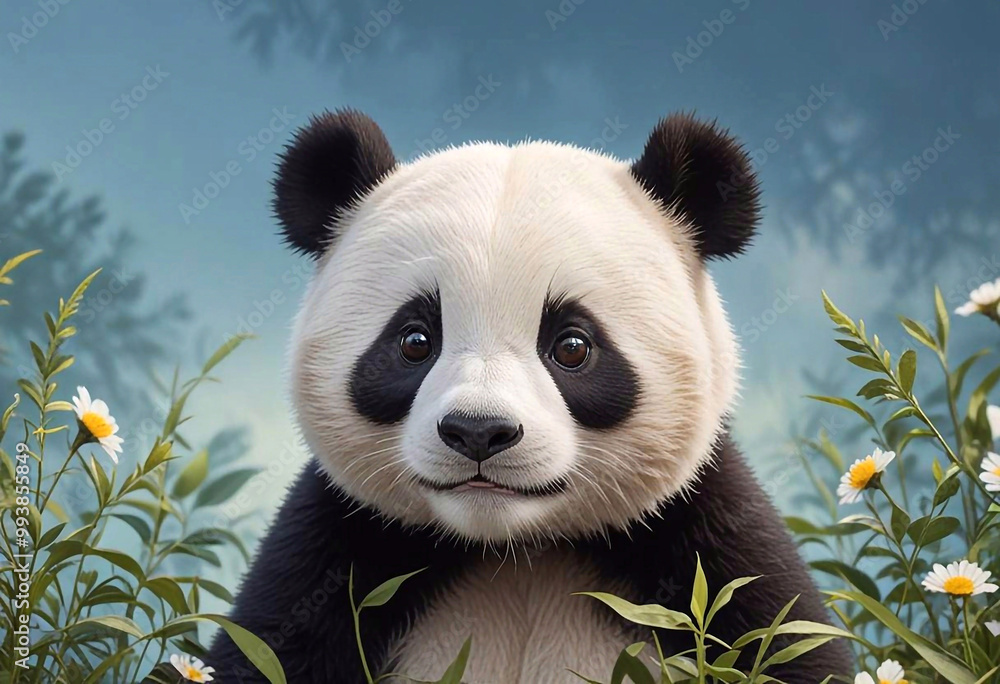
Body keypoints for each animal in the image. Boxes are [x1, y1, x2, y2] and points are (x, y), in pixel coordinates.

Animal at [207, 110, 853, 683]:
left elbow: (783, 643)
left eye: (571, 345)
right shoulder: (335, 557)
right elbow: (267, 647)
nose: (478, 432)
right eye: (415, 340)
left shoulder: (705, 542)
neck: (514, 549)